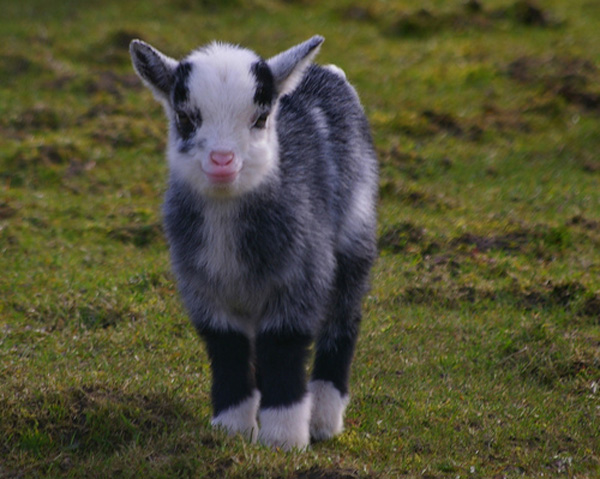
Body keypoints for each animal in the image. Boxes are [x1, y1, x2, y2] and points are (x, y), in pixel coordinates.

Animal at [129, 34, 378, 450]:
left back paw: (323, 419)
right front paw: (232, 429)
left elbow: (283, 344)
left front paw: (284, 440)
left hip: (354, 233)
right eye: (185, 118)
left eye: (260, 119)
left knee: (343, 320)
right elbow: (227, 346)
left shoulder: (300, 275)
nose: (222, 161)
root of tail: (328, 73)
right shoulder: (202, 288)